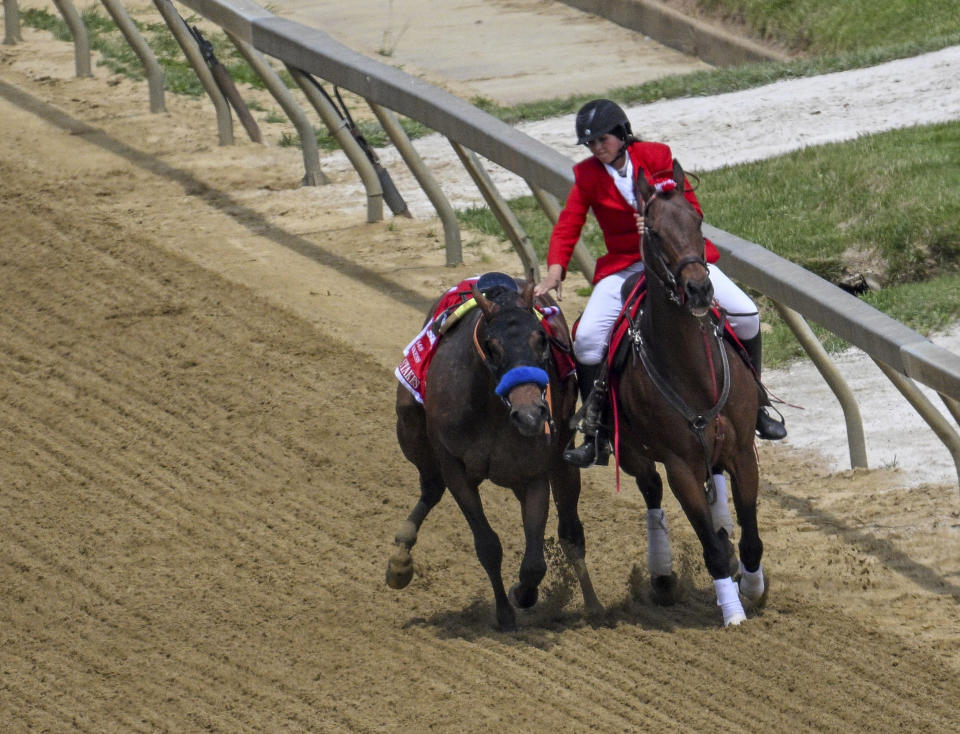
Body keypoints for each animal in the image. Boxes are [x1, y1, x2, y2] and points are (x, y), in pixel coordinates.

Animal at [384, 276, 596, 632]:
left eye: (541, 340)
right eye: (492, 346)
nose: (530, 415)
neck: (492, 410)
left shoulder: (533, 474)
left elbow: (534, 563)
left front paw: (521, 593)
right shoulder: (454, 466)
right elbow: (487, 544)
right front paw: (505, 613)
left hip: (560, 461)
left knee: (571, 531)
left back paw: (595, 605)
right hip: (410, 427)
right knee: (431, 486)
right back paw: (401, 560)